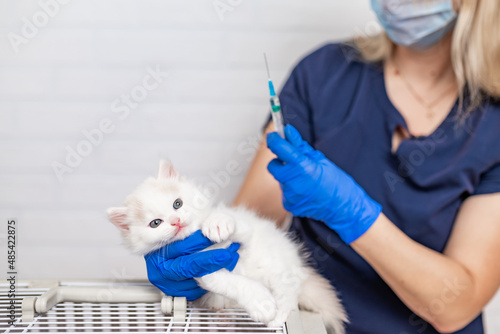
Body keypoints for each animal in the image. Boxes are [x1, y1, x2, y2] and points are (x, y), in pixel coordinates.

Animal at [107, 160, 346, 332]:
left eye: (177, 203)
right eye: (155, 223)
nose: (176, 221)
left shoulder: (245, 230)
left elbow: (231, 222)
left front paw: (217, 223)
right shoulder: (198, 269)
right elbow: (232, 283)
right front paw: (261, 303)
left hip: (278, 268)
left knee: (288, 295)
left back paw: (277, 318)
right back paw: (227, 319)